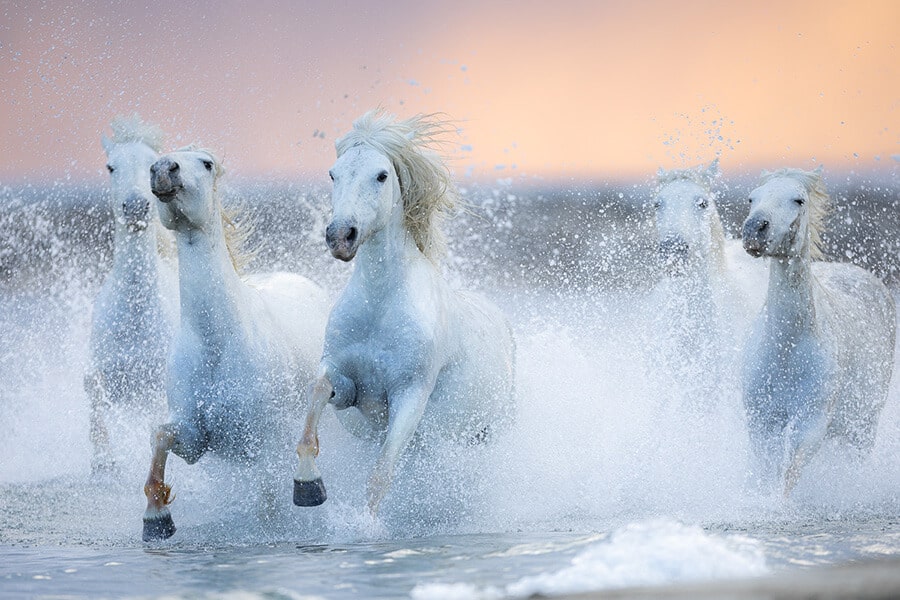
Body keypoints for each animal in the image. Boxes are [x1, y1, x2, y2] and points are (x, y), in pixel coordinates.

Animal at [85, 114, 177, 474]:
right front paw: (102, 460)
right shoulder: (103, 369)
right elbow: (93, 391)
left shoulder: (157, 381)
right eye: (111, 167)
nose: (136, 207)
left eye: (152, 165)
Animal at [141, 148, 329, 541]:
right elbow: (161, 435)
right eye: (157, 163)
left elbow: (269, 502)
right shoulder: (194, 438)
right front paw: (156, 518)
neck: (216, 342)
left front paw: (305, 490)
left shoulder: (262, 442)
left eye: (206, 163)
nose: (164, 171)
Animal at [292, 110, 516, 515]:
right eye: (333, 174)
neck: (380, 304)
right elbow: (316, 395)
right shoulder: (345, 382)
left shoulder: (411, 393)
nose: (340, 236)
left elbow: (381, 475)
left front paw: (365, 523)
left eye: (382, 175)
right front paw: (308, 485)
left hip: (489, 430)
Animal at [741, 166, 895, 495]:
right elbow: (769, 469)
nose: (755, 230)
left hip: (863, 427)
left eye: (798, 199)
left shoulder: (811, 422)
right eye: (752, 198)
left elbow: (790, 474)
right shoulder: (763, 421)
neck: (786, 351)